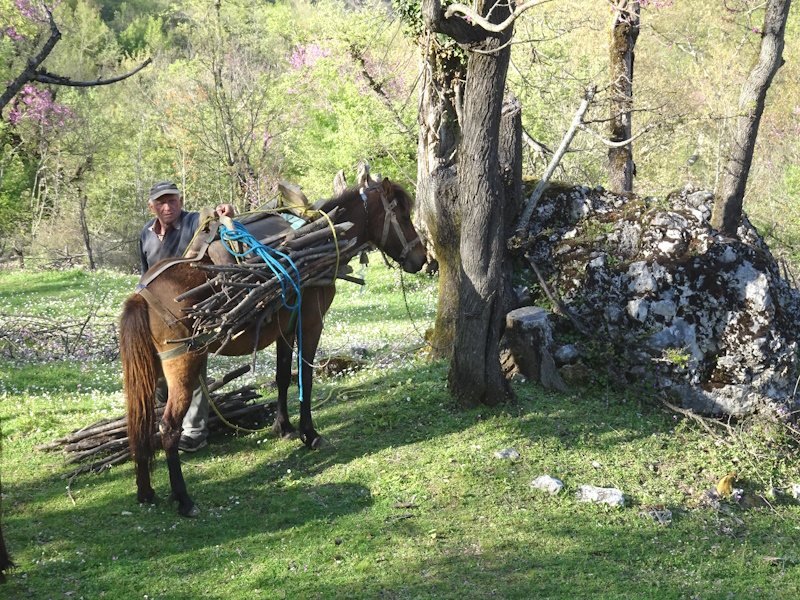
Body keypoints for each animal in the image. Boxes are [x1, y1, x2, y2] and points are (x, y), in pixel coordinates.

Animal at [119, 177, 426, 516]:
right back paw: (184, 499)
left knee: (142, 421)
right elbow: (304, 379)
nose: (422, 258)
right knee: (168, 427)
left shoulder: (285, 331)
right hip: (183, 363)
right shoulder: (311, 325)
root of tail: (141, 296)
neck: (324, 232)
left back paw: (146, 490)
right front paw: (310, 434)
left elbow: (281, 377)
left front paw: (284, 428)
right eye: (401, 215)